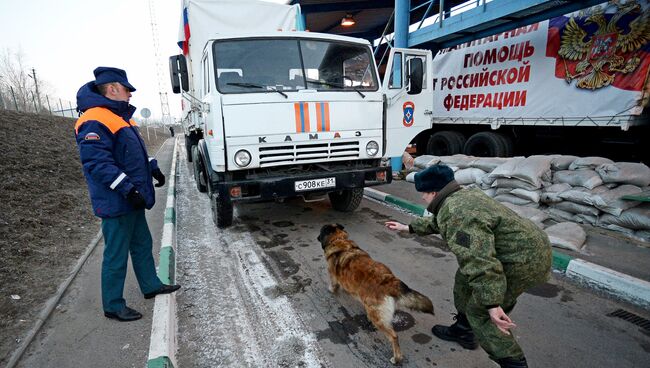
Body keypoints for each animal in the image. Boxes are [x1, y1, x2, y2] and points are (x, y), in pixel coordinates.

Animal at [316, 223, 432, 364]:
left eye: (321, 231)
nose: (317, 237)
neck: (339, 240)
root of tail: (389, 280)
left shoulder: (332, 275)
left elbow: (333, 284)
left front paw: (332, 290)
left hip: (377, 316)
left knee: (393, 336)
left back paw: (397, 358)